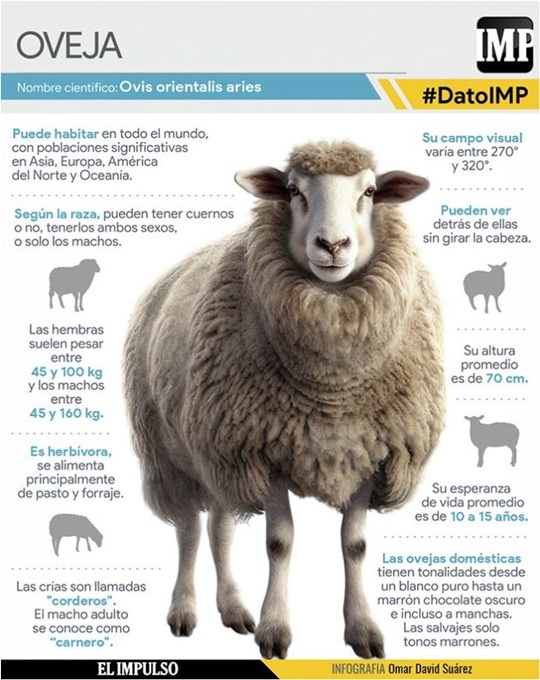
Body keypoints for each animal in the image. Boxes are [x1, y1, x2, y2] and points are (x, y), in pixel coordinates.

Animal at [123, 141, 445, 659]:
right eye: (293, 190)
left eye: (370, 192)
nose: (333, 246)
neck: (332, 387)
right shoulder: (263, 448)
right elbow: (279, 542)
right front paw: (275, 630)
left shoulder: (372, 452)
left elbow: (354, 545)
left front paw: (362, 629)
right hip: (173, 455)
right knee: (190, 530)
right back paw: (184, 611)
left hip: (217, 452)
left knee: (218, 528)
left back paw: (234, 609)